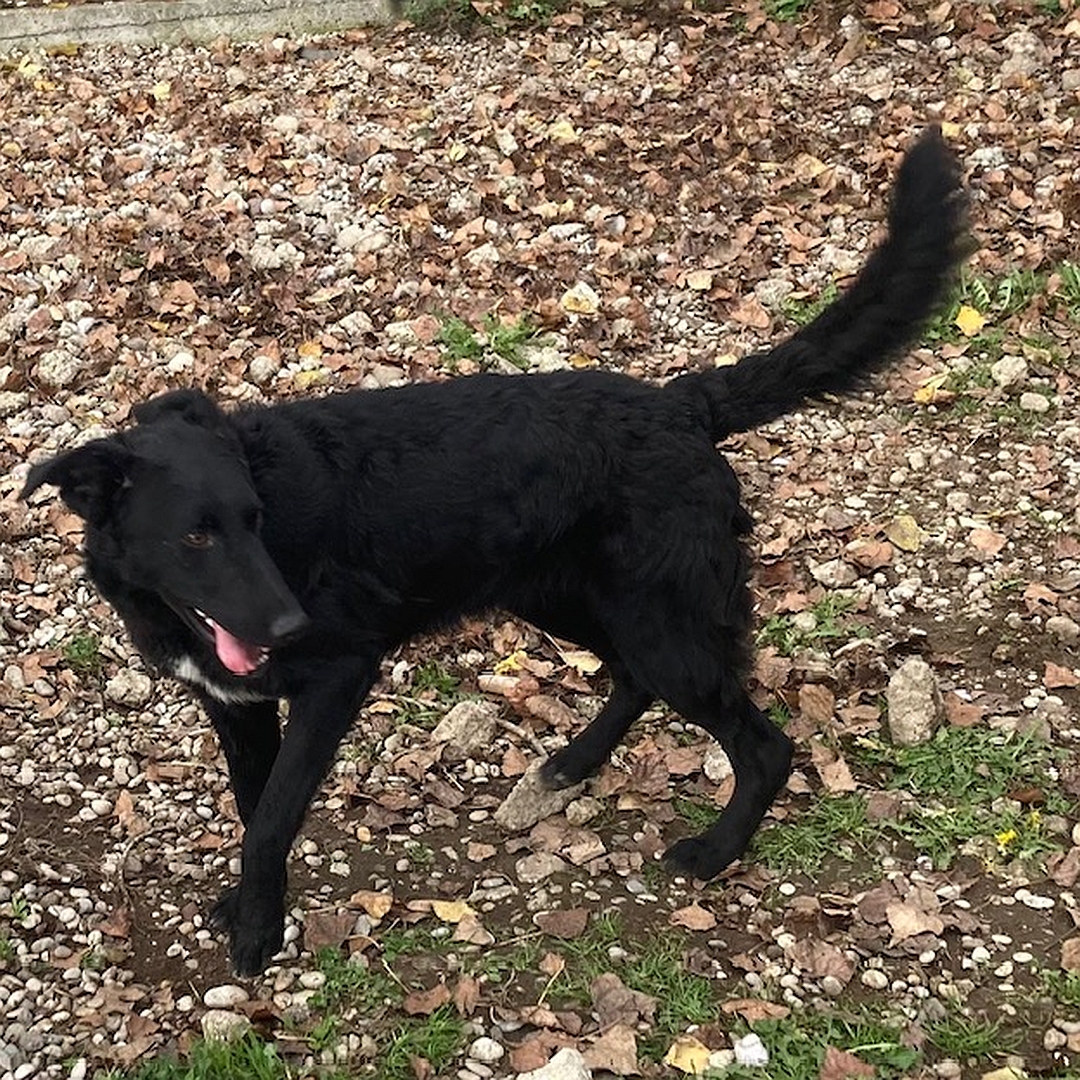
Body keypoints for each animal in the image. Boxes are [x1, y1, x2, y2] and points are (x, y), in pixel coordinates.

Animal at [23, 128, 972, 980]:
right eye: (197, 534)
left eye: (257, 520)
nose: (291, 625)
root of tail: (682, 404)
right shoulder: (240, 705)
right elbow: (257, 806)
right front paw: (255, 907)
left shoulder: (336, 679)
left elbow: (270, 819)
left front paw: (259, 932)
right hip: (564, 599)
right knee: (632, 678)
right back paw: (576, 763)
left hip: (660, 623)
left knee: (763, 747)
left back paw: (716, 851)